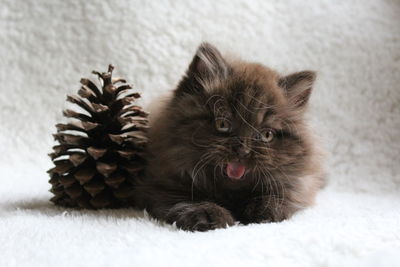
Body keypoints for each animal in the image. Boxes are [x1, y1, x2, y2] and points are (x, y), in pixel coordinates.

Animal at [134, 43, 324, 231]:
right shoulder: (160, 183)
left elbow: (282, 196)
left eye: (266, 135)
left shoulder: (297, 185)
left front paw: (264, 211)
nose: (243, 150)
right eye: (223, 124)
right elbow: (185, 198)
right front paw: (208, 214)